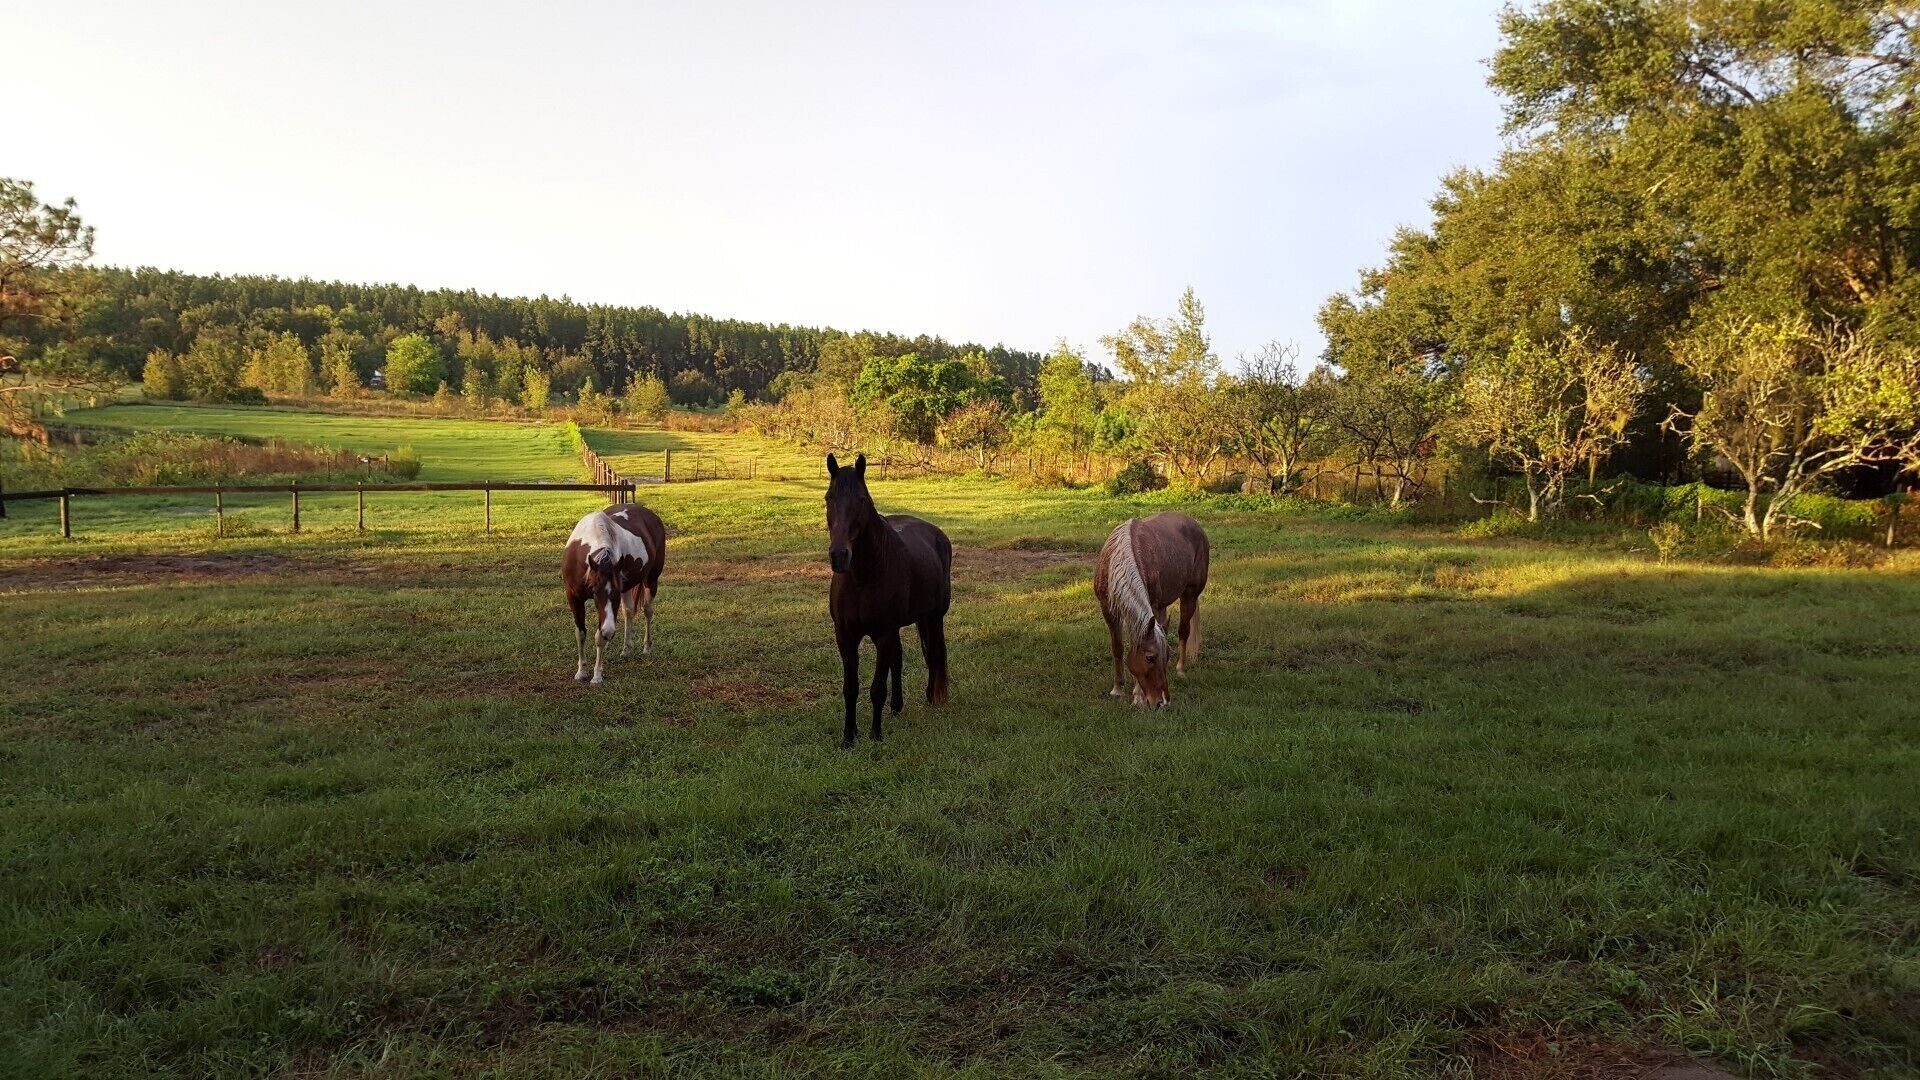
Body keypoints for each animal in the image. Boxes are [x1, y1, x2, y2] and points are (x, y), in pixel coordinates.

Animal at [562, 502, 666, 684]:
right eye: (595, 592)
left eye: (615, 594)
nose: (609, 633)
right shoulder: (574, 597)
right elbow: (580, 633)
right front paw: (581, 671)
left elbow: (598, 636)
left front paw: (597, 675)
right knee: (629, 612)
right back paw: (626, 649)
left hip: (651, 579)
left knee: (647, 611)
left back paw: (647, 647)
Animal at [824, 452, 952, 748]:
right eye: (828, 498)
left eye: (862, 499)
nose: (839, 556)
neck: (863, 577)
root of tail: (936, 533)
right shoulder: (845, 636)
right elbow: (851, 688)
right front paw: (849, 737)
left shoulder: (883, 634)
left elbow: (876, 689)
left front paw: (875, 735)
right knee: (900, 657)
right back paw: (897, 706)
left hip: (933, 617)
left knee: (934, 652)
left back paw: (931, 697)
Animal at [1093, 511, 1209, 707]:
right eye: (1150, 658)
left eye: (1167, 657)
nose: (1162, 701)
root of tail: (1195, 525)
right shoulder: (1108, 610)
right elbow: (1117, 647)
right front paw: (1117, 689)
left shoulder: (1151, 608)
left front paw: (1137, 696)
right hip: (1163, 607)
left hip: (1190, 595)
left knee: (1183, 631)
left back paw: (1180, 670)